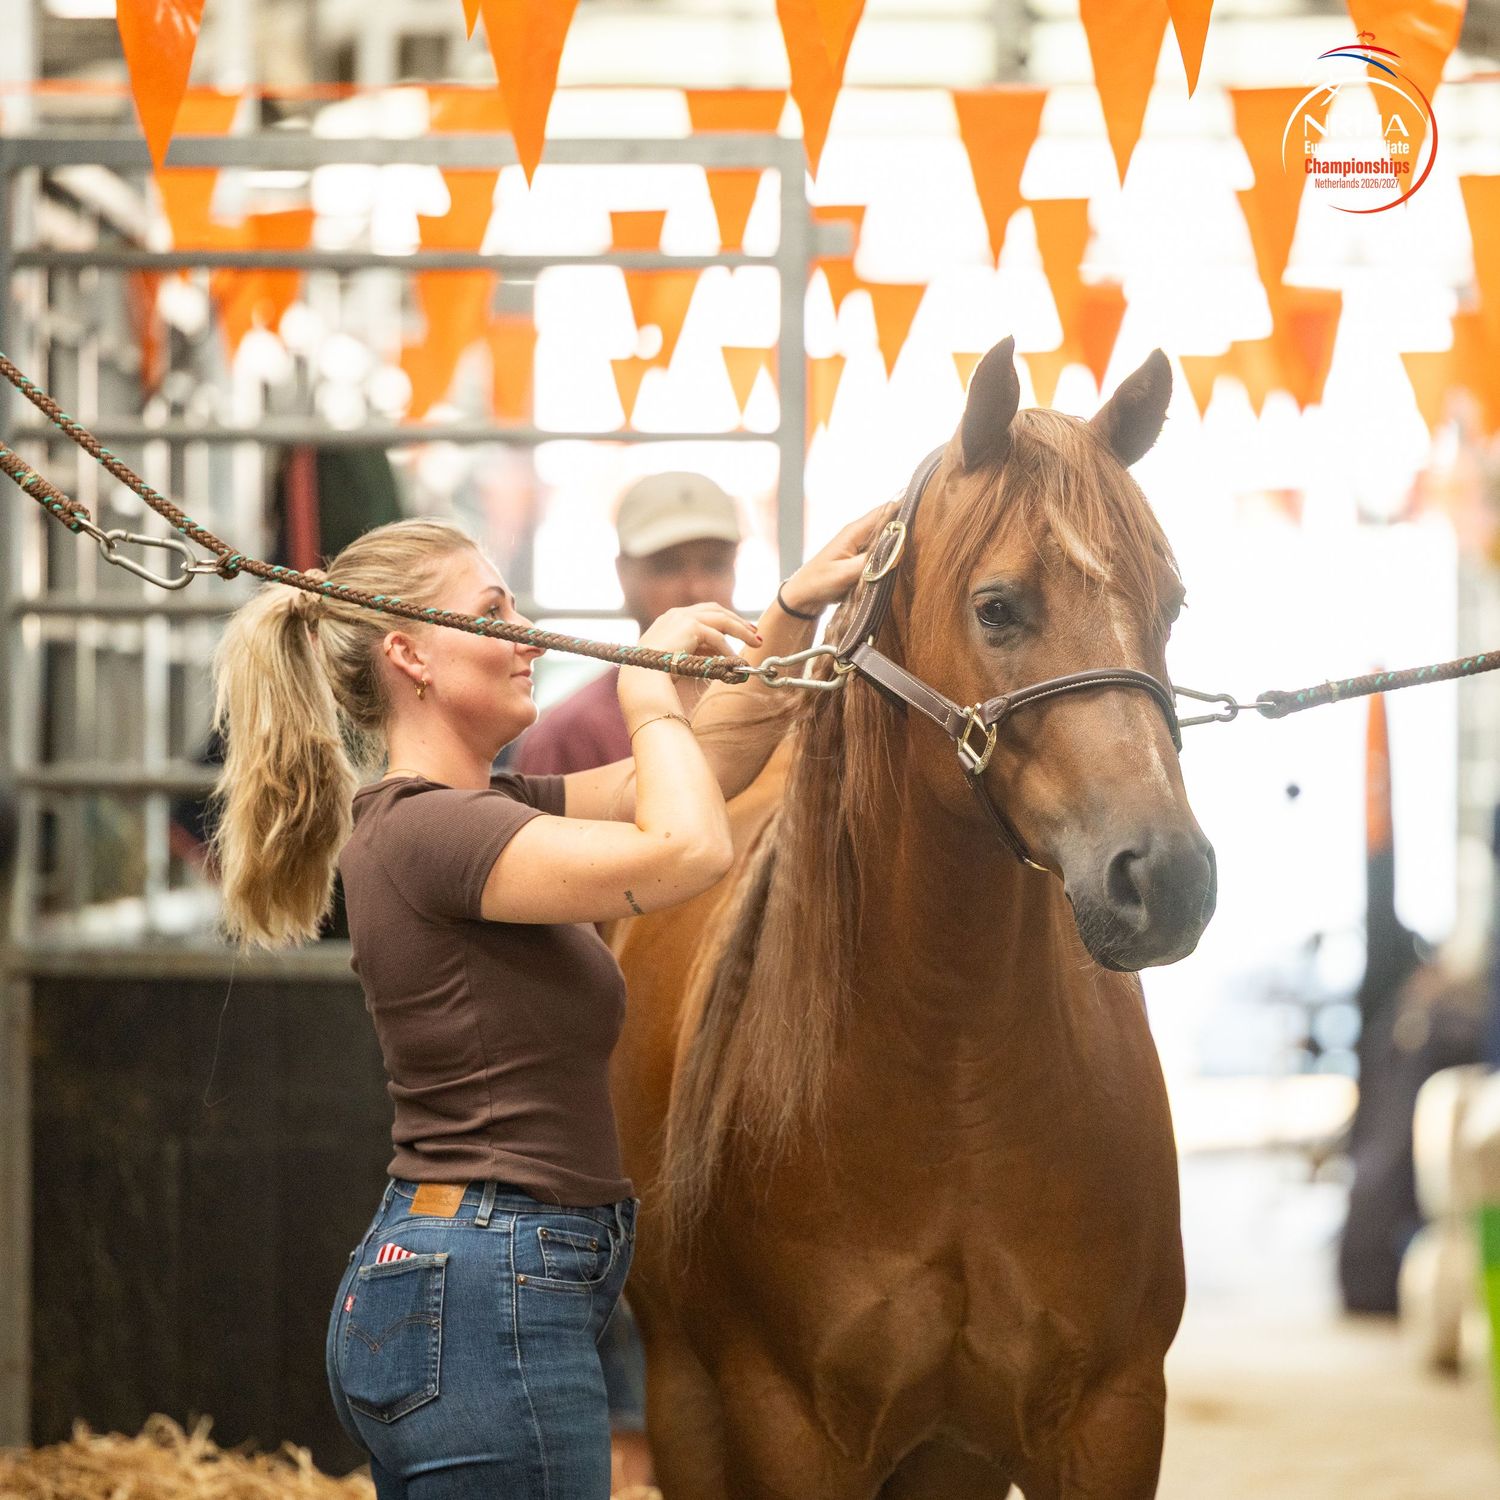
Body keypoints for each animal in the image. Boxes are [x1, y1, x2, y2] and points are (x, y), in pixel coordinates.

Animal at [610, 336, 1215, 1500]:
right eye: (999, 606)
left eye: (1171, 606)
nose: (1165, 877)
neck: (954, 1083)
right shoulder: (789, 1427)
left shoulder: (1110, 1417)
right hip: (686, 1404)